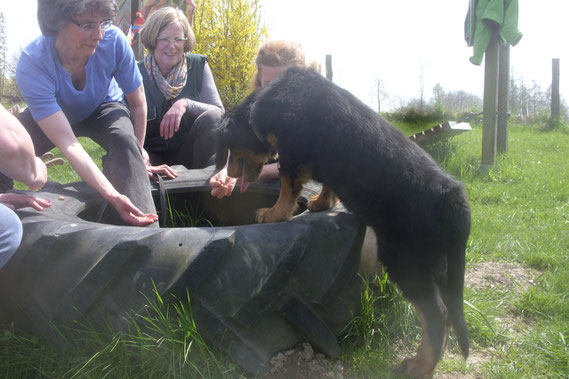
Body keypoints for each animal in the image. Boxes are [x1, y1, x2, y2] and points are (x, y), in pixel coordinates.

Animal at [215, 67, 468, 378]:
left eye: (230, 149)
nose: (227, 175)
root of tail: (453, 196)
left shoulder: (293, 149)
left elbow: (288, 186)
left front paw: (274, 214)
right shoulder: (321, 159)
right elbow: (327, 183)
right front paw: (320, 203)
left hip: (407, 259)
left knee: (436, 315)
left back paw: (420, 365)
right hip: (438, 264)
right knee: (445, 312)